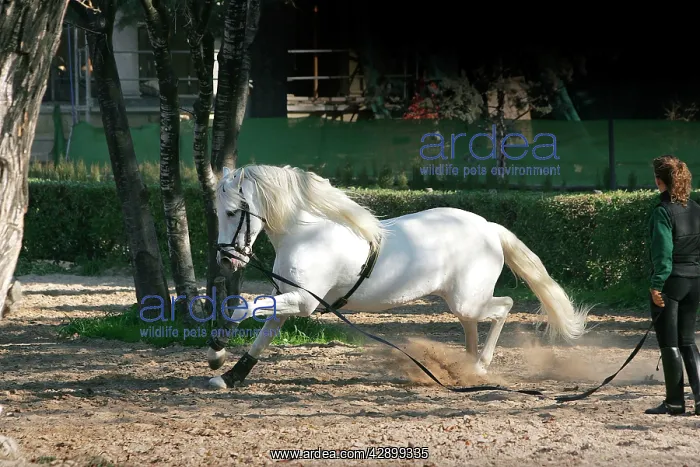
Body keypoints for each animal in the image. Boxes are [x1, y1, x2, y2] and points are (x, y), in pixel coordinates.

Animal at [207, 164, 591, 389]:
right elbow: (262, 335)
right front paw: (229, 375)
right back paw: (464, 367)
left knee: (505, 306)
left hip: (469, 299)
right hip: (460, 301)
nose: (226, 260)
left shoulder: (303, 302)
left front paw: (217, 350)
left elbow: (239, 308)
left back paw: (480, 366)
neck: (308, 233)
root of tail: (488, 228)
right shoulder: (288, 298)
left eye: (233, 212)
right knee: (473, 323)